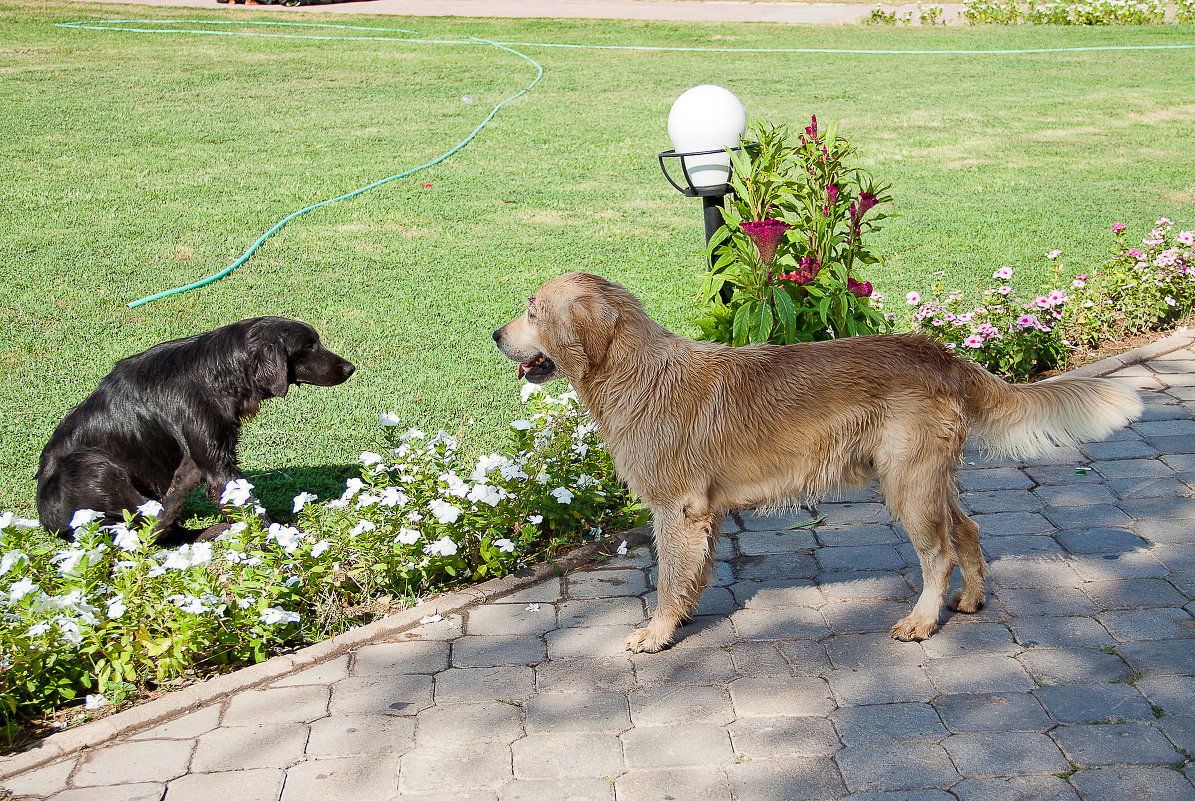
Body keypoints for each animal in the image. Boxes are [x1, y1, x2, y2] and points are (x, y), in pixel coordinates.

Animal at [36, 318, 353, 542]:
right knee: (150, 530)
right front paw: (278, 534)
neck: (217, 371)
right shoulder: (213, 458)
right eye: (309, 346)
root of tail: (49, 523)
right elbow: (241, 498)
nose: (350, 368)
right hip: (91, 466)